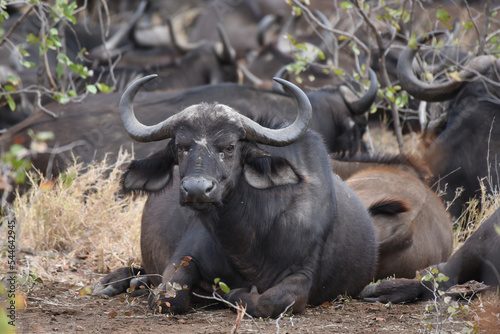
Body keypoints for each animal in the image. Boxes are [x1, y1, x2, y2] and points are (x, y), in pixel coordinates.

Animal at [94, 74, 376, 318]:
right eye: (181, 147)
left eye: (230, 147)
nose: (196, 189)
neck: (247, 243)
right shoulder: (182, 258)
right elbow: (169, 298)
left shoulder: (302, 273)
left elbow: (272, 301)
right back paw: (112, 282)